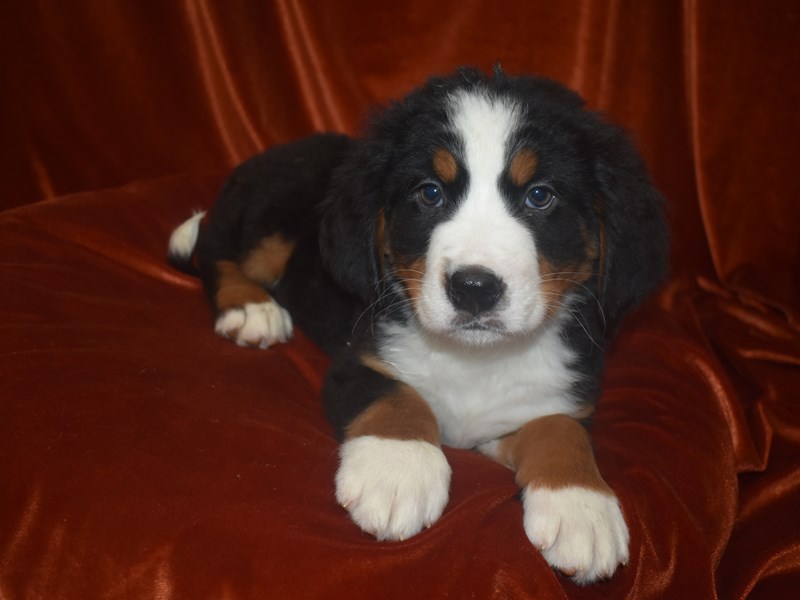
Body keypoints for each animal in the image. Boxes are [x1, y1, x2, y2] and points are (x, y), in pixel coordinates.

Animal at [169, 68, 668, 584]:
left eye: (540, 196)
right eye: (430, 193)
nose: (474, 288)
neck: (475, 359)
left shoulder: (559, 396)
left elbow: (561, 429)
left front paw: (581, 506)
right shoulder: (359, 358)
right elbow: (398, 397)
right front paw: (397, 468)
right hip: (273, 214)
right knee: (214, 249)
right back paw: (250, 307)